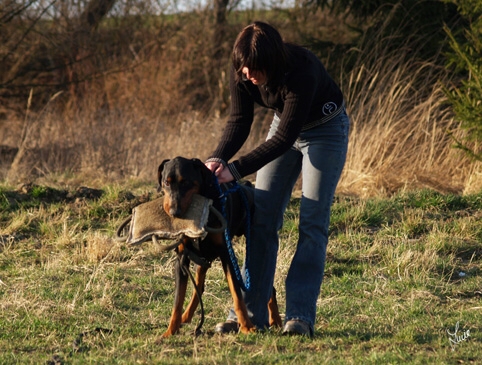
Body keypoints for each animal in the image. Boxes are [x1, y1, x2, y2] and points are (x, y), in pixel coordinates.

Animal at [158, 155, 280, 336]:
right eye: (166, 183)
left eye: (186, 182)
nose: (174, 212)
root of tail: (247, 187)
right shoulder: (182, 259)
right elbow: (177, 300)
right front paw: (170, 331)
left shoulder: (226, 254)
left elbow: (237, 295)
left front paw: (247, 326)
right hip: (202, 258)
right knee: (199, 287)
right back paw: (186, 316)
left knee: (268, 286)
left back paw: (276, 321)